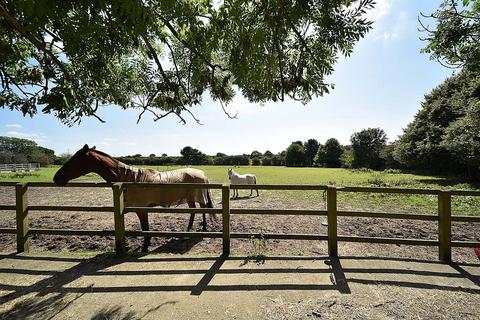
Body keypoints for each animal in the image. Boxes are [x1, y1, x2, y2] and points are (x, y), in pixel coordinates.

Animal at [53, 145, 216, 252]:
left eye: (75, 160)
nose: (56, 178)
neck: (128, 179)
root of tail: (202, 174)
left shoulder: (141, 210)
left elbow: (145, 229)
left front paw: (145, 247)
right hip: (191, 198)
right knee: (195, 211)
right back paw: (190, 229)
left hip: (198, 197)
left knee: (201, 210)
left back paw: (203, 228)